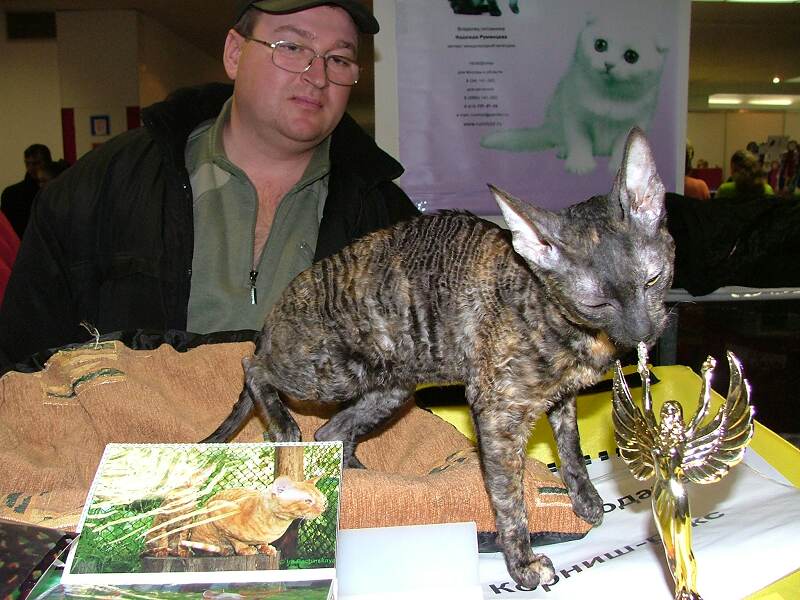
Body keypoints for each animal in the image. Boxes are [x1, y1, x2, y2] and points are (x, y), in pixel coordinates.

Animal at [143, 475, 326, 558]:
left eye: (322, 498)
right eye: (308, 501)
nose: (324, 507)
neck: (276, 526)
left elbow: (263, 542)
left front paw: (266, 548)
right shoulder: (217, 510)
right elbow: (234, 539)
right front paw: (245, 549)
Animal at [202, 128, 675, 588]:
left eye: (654, 280)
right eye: (596, 303)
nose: (641, 335)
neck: (571, 328)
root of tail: (276, 309)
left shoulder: (561, 397)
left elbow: (572, 449)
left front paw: (586, 499)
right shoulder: (497, 410)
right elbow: (509, 496)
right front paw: (522, 563)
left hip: (390, 388)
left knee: (332, 429)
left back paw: (359, 475)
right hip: (329, 372)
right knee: (256, 369)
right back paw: (284, 426)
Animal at [481, 12, 668, 174]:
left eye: (631, 56)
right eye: (600, 45)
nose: (608, 64)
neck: (608, 97)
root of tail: (547, 127)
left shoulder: (636, 121)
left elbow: (624, 146)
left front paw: (622, 169)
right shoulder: (574, 115)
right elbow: (579, 141)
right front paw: (580, 165)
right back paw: (563, 150)